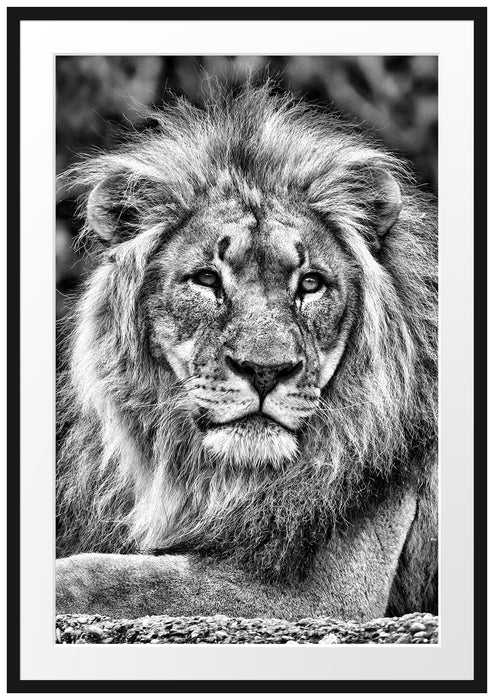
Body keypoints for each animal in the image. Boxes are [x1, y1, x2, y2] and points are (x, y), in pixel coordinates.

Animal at [56, 85, 437, 622]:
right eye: (207, 279)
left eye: (311, 284)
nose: (264, 371)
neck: (227, 477)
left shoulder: (327, 595)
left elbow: (112, 577)